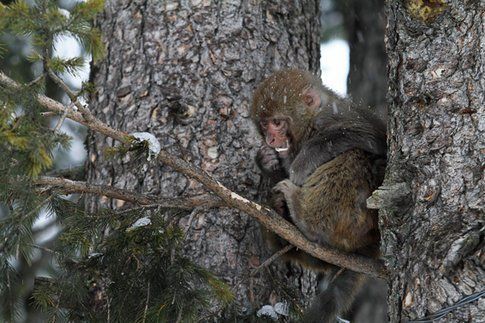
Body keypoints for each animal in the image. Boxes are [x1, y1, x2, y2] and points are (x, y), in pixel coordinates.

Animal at [251, 69, 384, 322]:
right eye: (264, 124)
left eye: (277, 123)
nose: (271, 139)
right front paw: (267, 162)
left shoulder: (334, 117)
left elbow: (365, 135)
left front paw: (301, 164)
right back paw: (279, 220)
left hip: (360, 227)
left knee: (354, 156)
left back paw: (304, 217)